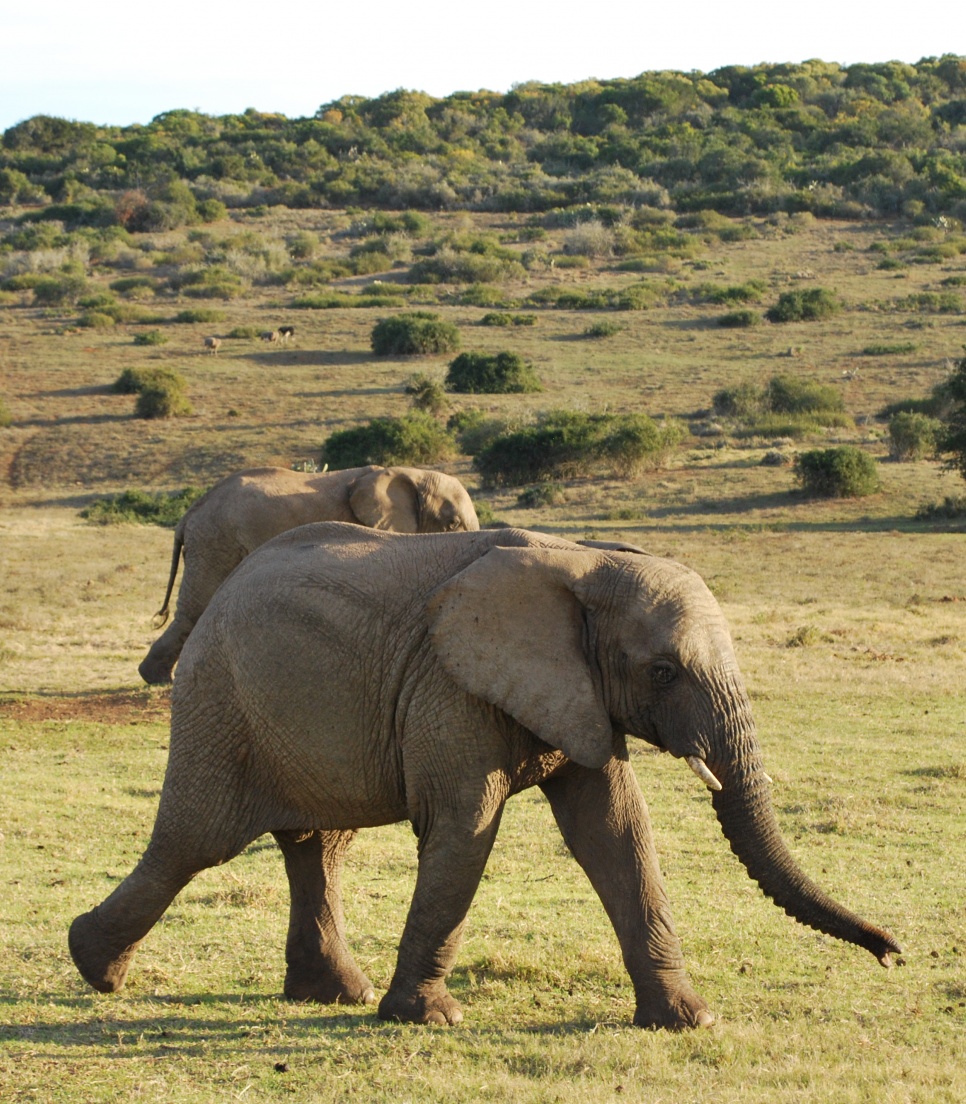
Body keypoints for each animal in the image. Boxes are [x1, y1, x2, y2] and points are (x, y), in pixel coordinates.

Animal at [73, 523, 900, 1024]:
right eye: (662, 671)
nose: (893, 952)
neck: (583, 563)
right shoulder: (450, 687)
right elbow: (466, 828)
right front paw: (427, 1020)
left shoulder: (577, 692)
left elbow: (616, 831)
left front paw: (687, 1020)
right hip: (220, 700)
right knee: (194, 842)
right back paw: (94, 967)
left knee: (319, 846)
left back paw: (334, 996)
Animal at [136, 463, 479, 684]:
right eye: (451, 524)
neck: (412, 473)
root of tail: (190, 512)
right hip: (216, 539)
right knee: (196, 608)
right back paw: (158, 680)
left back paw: (155, 677)